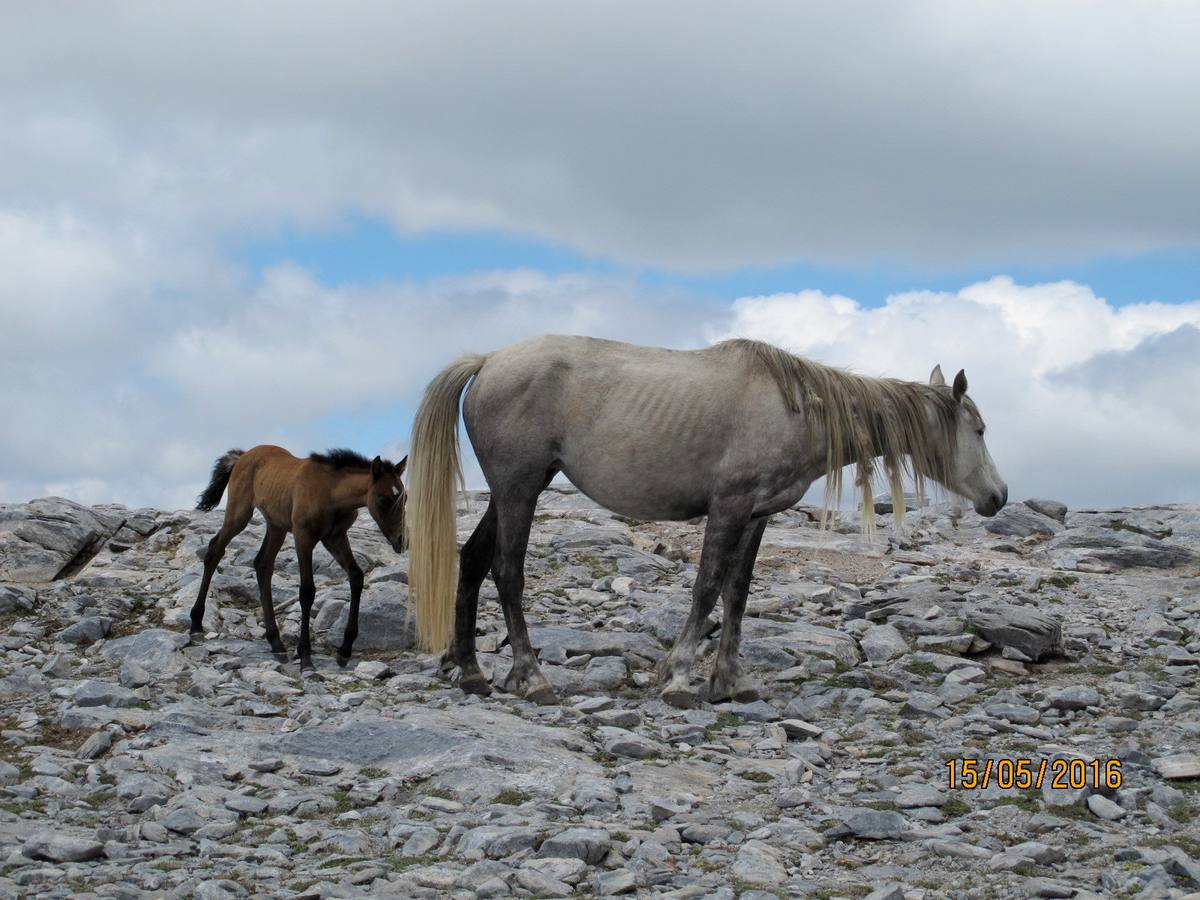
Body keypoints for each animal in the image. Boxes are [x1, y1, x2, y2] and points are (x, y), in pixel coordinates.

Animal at [408, 336, 1008, 710]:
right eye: (978, 429)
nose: (998, 497)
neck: (794, 408)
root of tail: (487, 362)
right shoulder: (728, 510)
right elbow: (706, 587)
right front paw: (677, 677)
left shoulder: (757, 517)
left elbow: (737, 593)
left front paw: (730, 682)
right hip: (519, 490)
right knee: (507, 572)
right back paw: (531, 678)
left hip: (513, 492)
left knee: (473, 560)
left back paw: (470, 671)